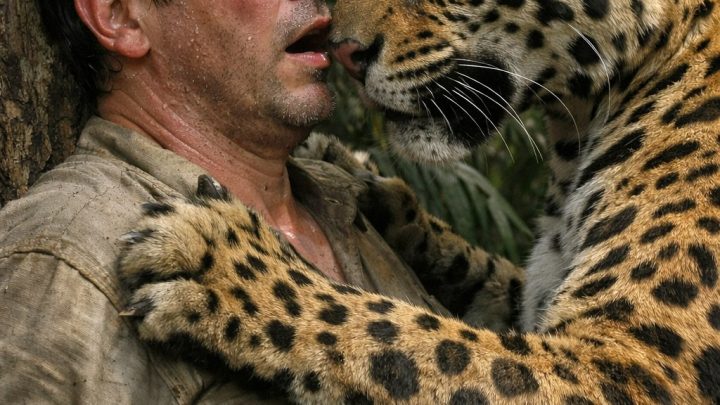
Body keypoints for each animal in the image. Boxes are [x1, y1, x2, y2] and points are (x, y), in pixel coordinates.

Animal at [117, 0, 720, 403]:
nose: (344, 51)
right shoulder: (534, 291)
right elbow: (487, 275)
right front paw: (365, 181)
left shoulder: (633, 363)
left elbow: (418, 339)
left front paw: (227, 267)